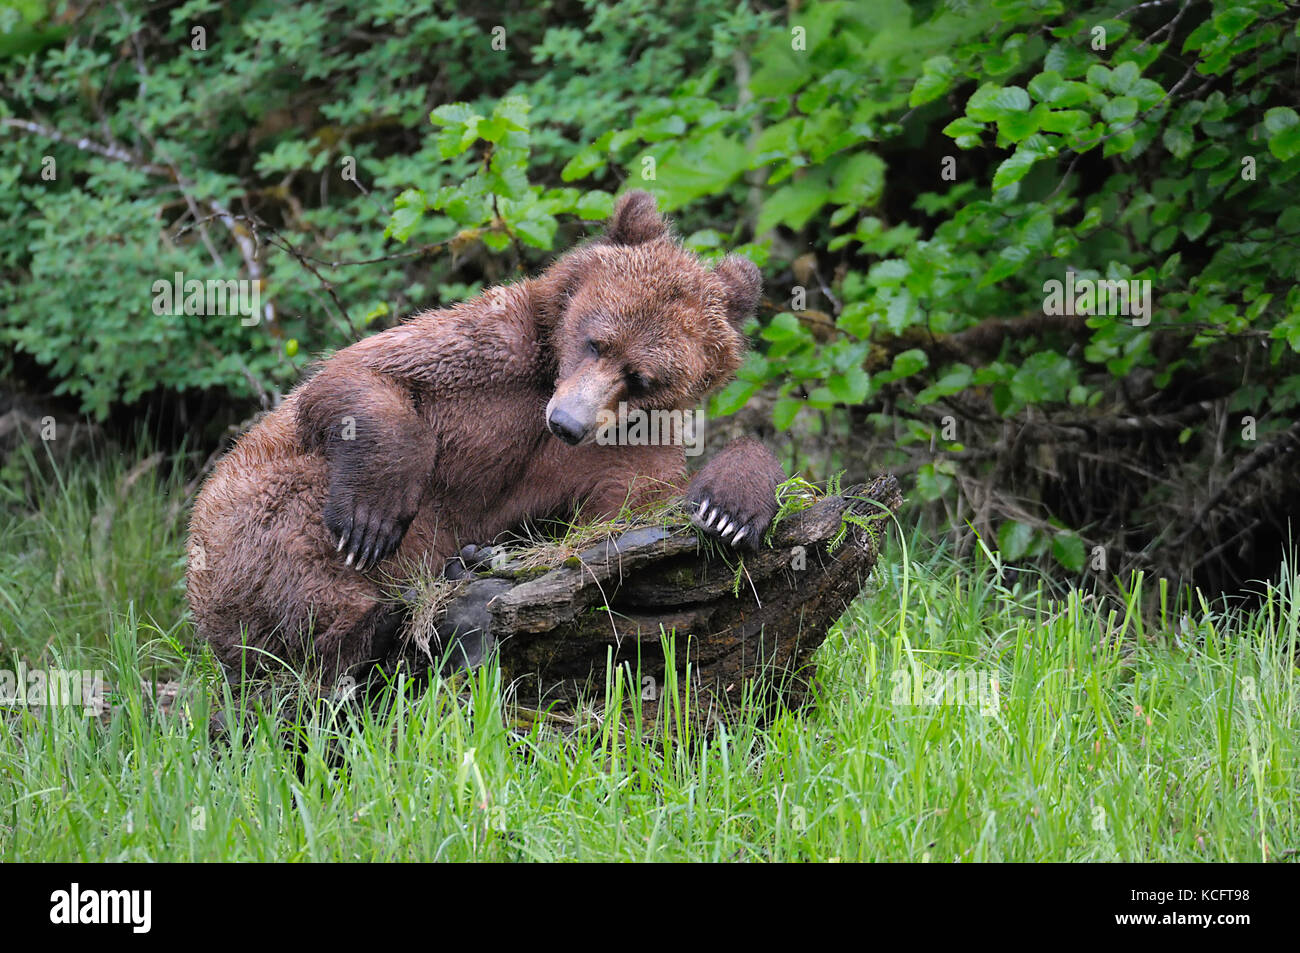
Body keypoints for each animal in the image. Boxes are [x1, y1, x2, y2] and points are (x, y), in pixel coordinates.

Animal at [185, 191, 780, 676]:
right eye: (597, 340)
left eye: (641, 377)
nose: (566, 423)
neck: (547, 380)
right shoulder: (490, 351)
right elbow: (360, 375)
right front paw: (371, 518)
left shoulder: (623, 443)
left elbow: (638, 507)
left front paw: (729, 505)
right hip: (222, 534)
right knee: (282, 520)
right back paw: (371, 627)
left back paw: (462, 572)